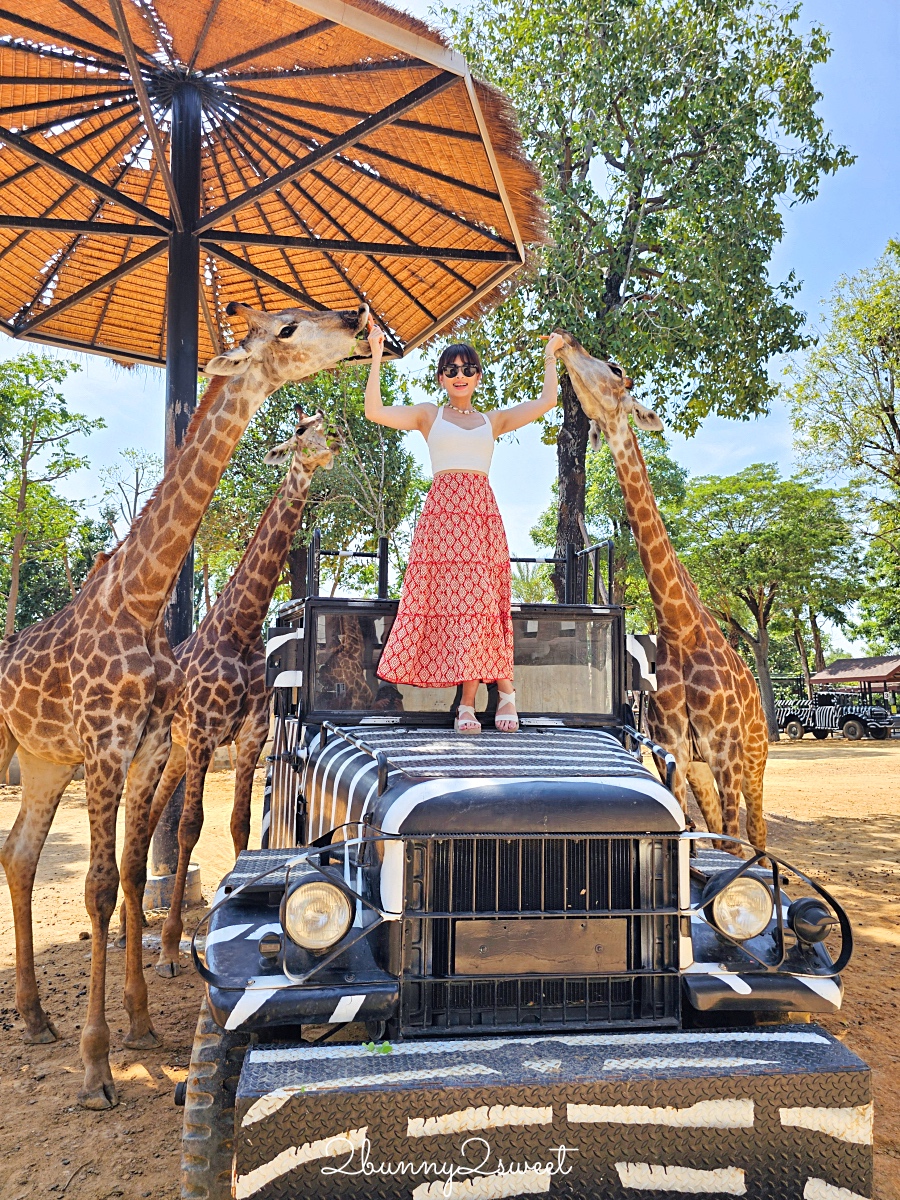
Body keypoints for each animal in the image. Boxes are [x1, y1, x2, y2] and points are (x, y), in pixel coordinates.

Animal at [142, 410, 340, 974]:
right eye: (300, 433)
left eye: (328, 426)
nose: (331, 449)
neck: (242, 628)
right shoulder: (206, 734)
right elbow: (190, 827)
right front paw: (171, 949)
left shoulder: (249, 736)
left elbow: (238, 824)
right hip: (163, 747)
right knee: (143, 818)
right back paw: (134, 931)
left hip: (176, 752)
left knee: (151, 816)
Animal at [556, 328, 768, 854]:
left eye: (616, 369)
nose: (566, 338)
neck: (678, 625)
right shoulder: (673, 749)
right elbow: (692, 830)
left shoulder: (726, 752)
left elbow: (731, 844)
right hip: (704, 769)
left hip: (755, 759)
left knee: (756, 834)